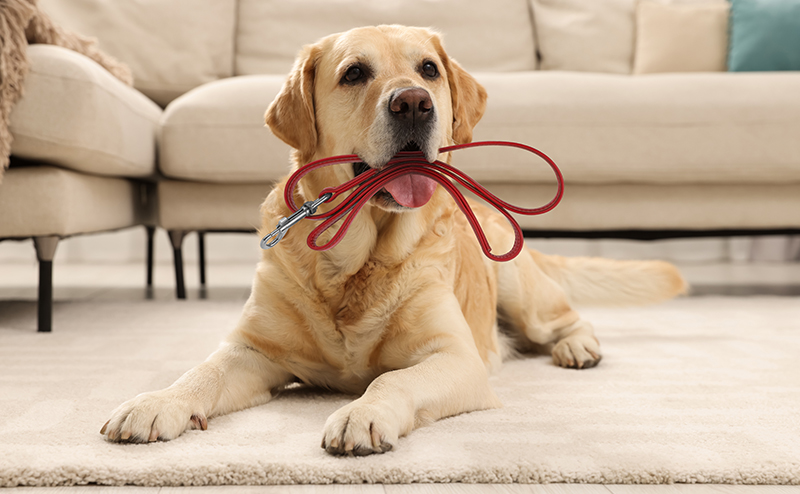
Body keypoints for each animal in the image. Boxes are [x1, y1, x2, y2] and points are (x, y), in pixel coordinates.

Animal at [100, 23, 688, 456]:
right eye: (354, 73)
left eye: (428, 69)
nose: (413, 103)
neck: (355, 260)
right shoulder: (253, 349)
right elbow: (201, 371)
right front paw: (157, 403)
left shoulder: (455, 358)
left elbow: (392, 381)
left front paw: (362, 413)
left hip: (516, 282)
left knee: (565, 318)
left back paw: (576, 347)